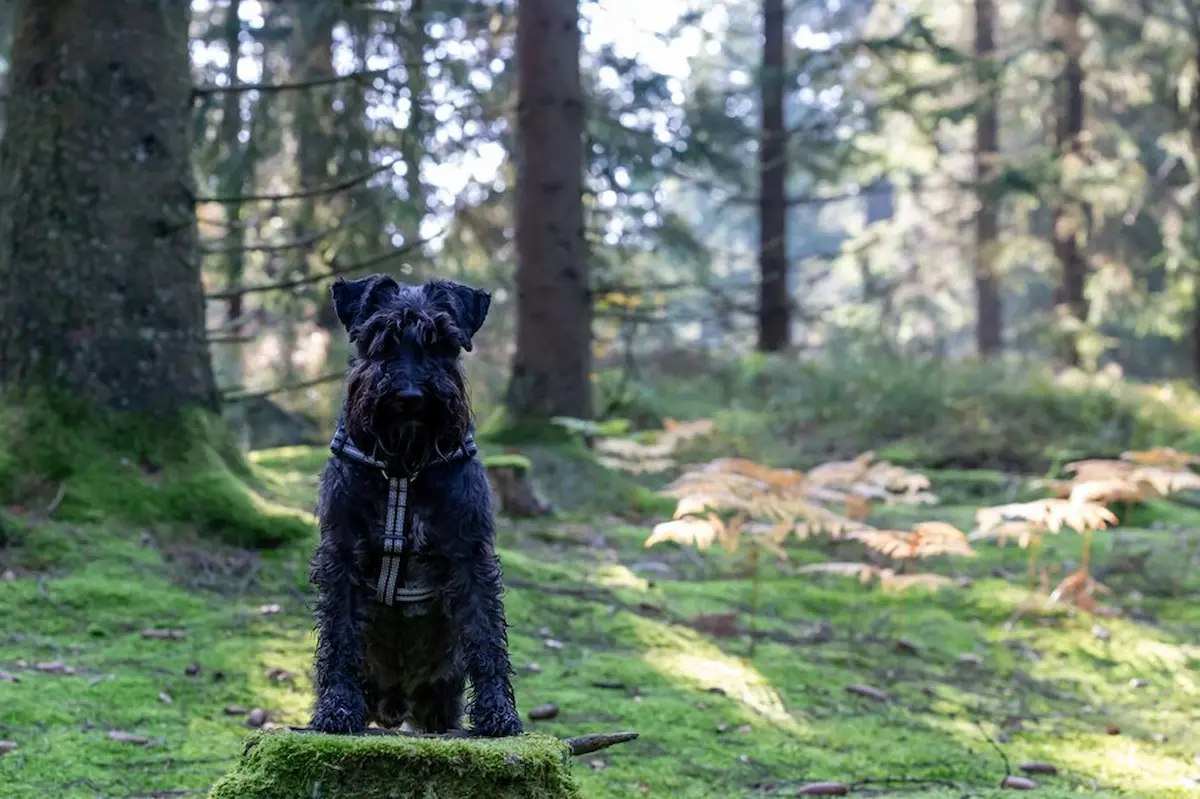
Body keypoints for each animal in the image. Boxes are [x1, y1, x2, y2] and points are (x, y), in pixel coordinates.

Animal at [309, 272, 520, 734]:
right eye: (379, 338)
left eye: (443, 341)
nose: (410, 396)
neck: (403, 468)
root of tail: (397, 702)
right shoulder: (342, 552)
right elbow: (341, 633)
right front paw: (337, 706)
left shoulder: (470, 552)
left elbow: (486, 636)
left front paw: (498, 712)